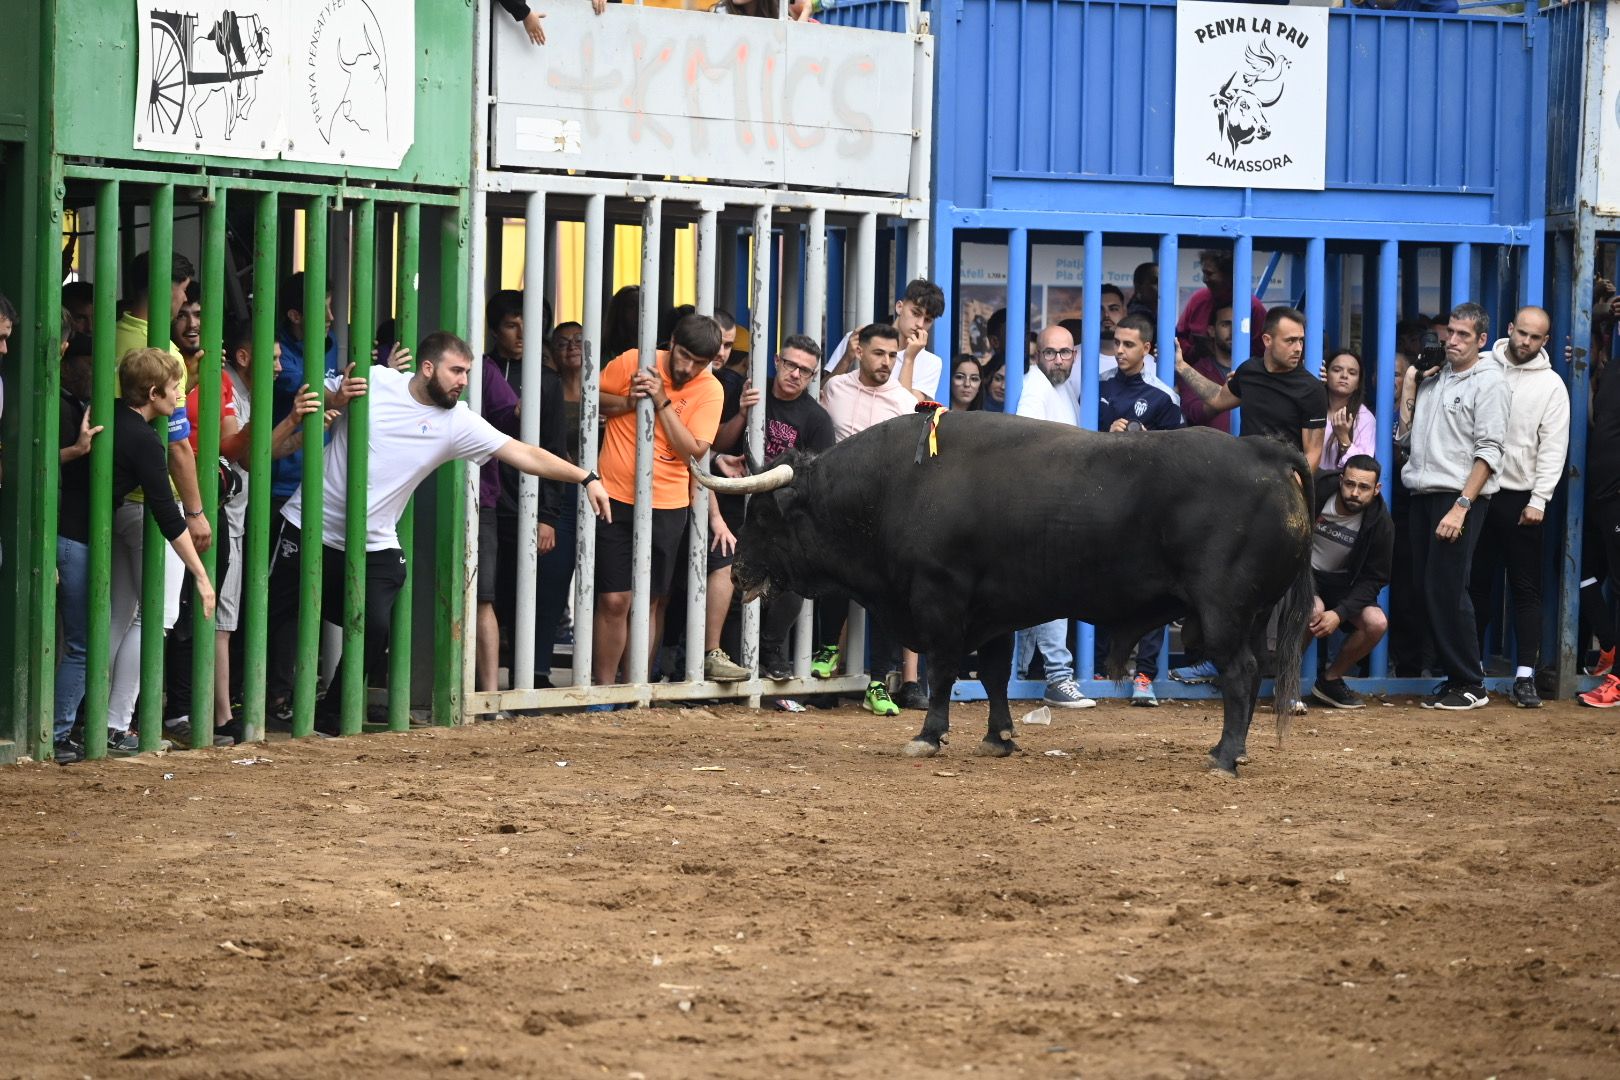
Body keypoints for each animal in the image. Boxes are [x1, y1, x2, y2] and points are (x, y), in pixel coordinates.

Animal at [699, 409, 1315, 773]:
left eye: (763, 517)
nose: (740, 571)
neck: (896, 485)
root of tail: (1265, 451)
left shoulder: (941, 600)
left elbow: (945, 670)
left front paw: (929, 734)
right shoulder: (993, 611)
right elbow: (995, 674)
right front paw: (999, 736)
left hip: (1223, 613)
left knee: (1240, 674)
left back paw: (1225, 756)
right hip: (1249, 615)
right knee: (1248, 675)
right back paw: (1227, 748)